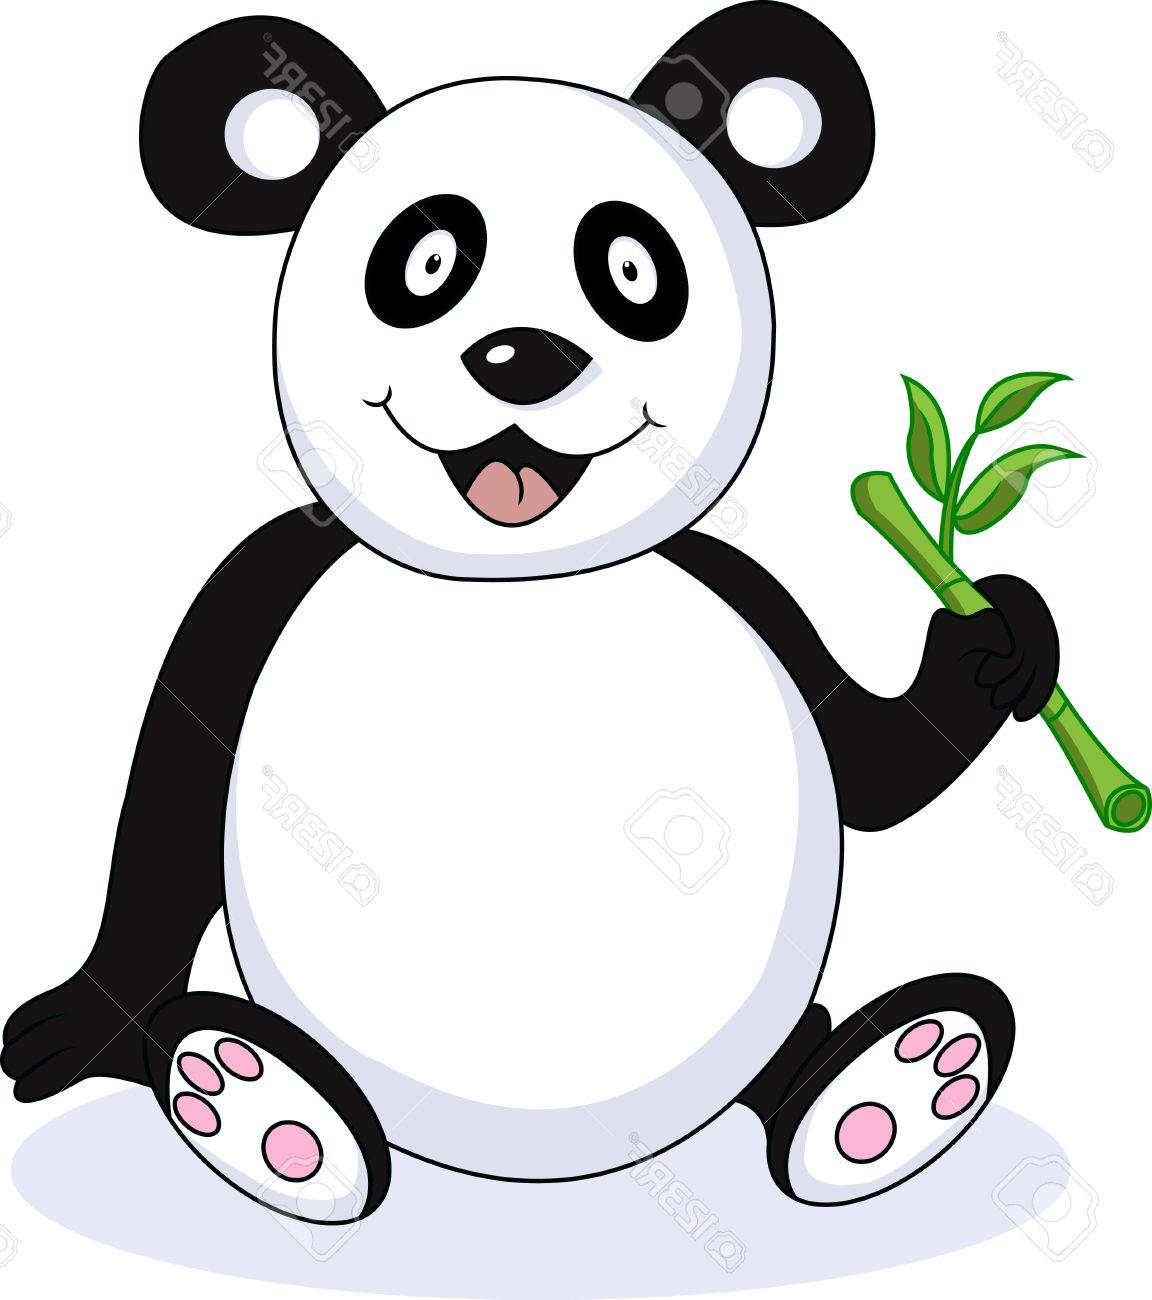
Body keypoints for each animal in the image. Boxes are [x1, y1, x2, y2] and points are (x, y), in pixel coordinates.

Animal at [3, 4, 1059, 1226]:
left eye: (633, 269)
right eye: (425, 262)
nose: (524, 357)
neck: (519, 584)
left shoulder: (746, 589)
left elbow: (874, 764)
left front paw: (995, 637)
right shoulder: (254, 591)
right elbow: (168, 791)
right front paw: (80, 1022)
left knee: (805, 1060)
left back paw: (893, 1087)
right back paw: (255, 1101)